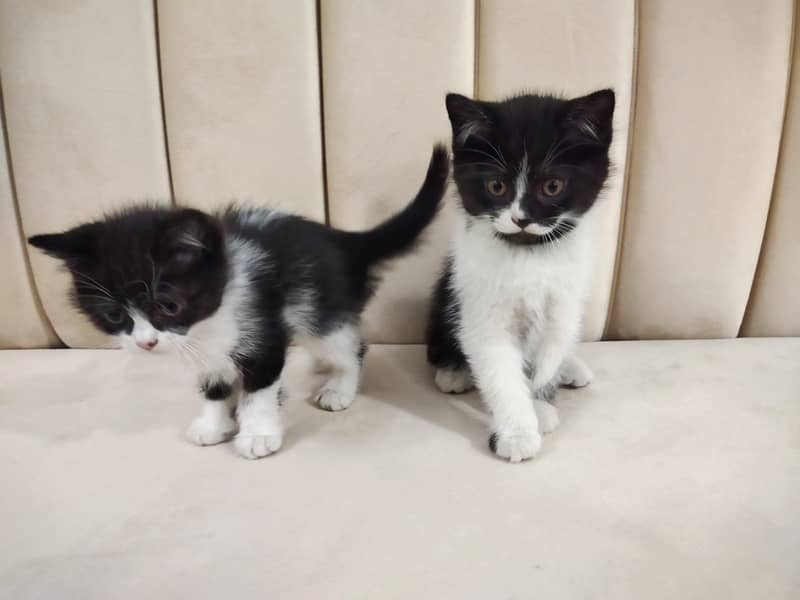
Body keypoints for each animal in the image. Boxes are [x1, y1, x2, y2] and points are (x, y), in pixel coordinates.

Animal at [29, 144, 450, 460]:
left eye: (169, 306)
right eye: (115, 315)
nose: (146, 343)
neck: (208, 324)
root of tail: (342, 239)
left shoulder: (262, 329)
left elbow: (260, 387)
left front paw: (257, 432)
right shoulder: (206, 352)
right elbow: (214, 384)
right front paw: (215, 422)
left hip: (316, 308)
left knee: (351, 346)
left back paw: (339, 388)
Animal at [428, 90, 616, 464]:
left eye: (553, 186)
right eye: (496, 186)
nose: (521, 219)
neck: (530, 254)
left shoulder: (565, 301)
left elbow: (551, 352)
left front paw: (541, 403)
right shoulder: (481, 304)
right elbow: (499, 368)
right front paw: (517, 431)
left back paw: (571, 368)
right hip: (448, 290)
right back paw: (453, 371)